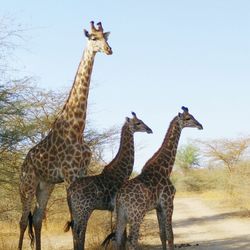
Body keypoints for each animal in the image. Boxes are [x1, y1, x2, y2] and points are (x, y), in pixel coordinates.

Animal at [17, 21, 111, 250]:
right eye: (93, 38)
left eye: (106, 37)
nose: (109, 50)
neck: (77, 129)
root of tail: (22, 165)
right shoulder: (69, 175)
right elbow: (75, 222)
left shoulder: (80, 174)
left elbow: (79, 222)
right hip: (27, 185)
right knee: (23, 220)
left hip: (45, 185)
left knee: (37, 218)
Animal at [64, 112, 153, 249]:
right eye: (138, 123)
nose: (149, 130)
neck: (121, 172)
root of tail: (69, 191)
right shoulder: (117, 208)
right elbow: (121, 236)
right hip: (83, 210)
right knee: (79, 233)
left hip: (75, 211)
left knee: (75, 232)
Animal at [105, 106, 203, 250]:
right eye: (188, 118)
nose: (200, 125)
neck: (166, 169)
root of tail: (120, 197)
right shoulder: (168, 202)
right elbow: (170, 236)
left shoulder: (158, 207)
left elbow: (162, 235)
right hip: (136, 215)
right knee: (132, 241)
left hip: (121, 215)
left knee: (118, 240)